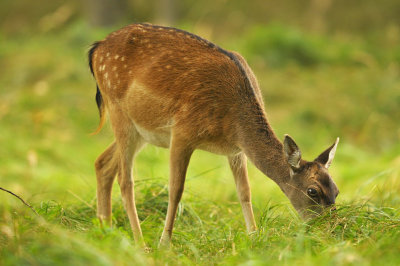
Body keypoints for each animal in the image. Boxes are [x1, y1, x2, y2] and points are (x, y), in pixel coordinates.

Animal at [86, 23, 338, 247]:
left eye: (336, 190)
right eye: (312, 191)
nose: (331, 229)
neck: (233, 123)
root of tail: (97, 48)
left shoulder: (236, 150)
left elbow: (244, 191)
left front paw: (254, 237)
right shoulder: (182, 132)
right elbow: (175, 191)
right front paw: (165, 244)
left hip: (141, 131)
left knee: (103, 163)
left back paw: (106, 232)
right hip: (118, 109)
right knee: (125, 179)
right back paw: (140, 242)